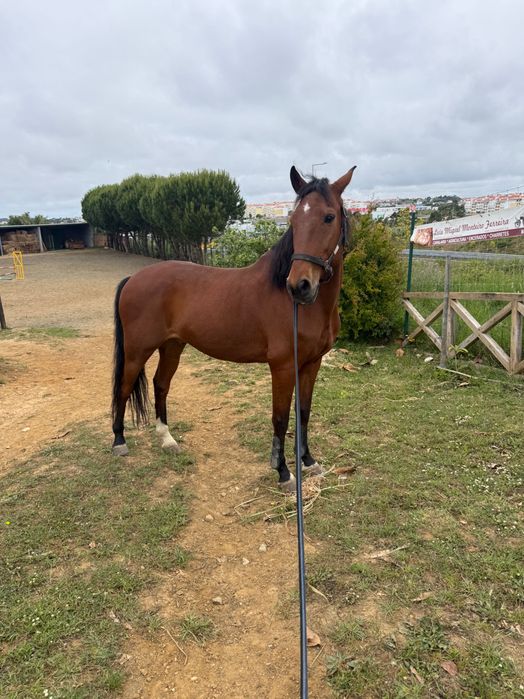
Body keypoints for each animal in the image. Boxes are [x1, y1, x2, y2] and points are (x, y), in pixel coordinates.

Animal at [111, 165, 356, 491]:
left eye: (329, 217)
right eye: (293, 220)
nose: (300, 286)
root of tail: (133, 278)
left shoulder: (312, 363)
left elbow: (303, 412)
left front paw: (308, 461)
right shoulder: (283, 366)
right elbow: (280, 418)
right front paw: (283, 473)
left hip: (172, 345)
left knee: (161, 384)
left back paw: (167, 439)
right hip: (138, 350)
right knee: (124, 387)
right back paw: (119, 441)